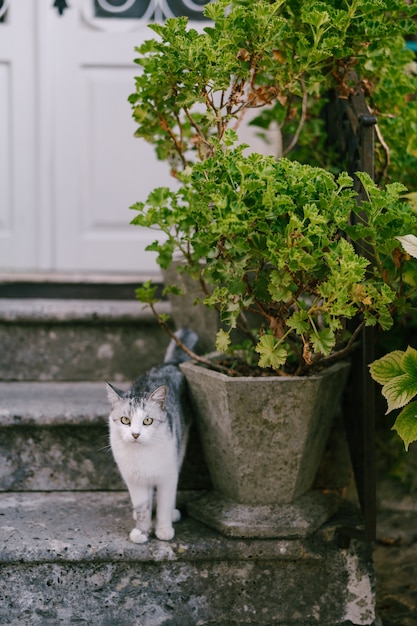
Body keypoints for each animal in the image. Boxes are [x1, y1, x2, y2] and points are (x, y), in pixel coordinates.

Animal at [104, 326, 195, 540]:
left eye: (147, 421)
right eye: (125, 420)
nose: (136, 434)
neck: (142, 455)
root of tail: (169, 364)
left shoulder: (167, 475)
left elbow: (163, 504)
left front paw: (163, 530)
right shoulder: (133, 479)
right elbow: (142, 507)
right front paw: (142, 531)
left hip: (180, 449)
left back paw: (172, 514)